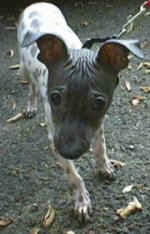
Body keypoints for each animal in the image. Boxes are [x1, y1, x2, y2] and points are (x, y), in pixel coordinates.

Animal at [17, 1, 144, 220]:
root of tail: (37, 4)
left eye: (99, 103)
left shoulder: (98, 124)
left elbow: (100, 147)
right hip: (24, 65)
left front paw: (104, 167)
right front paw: (81, 201)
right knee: (31, 87)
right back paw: (31, 105)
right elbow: (73, 176)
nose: (69, 151)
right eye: (54, 98)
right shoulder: (55, 138)